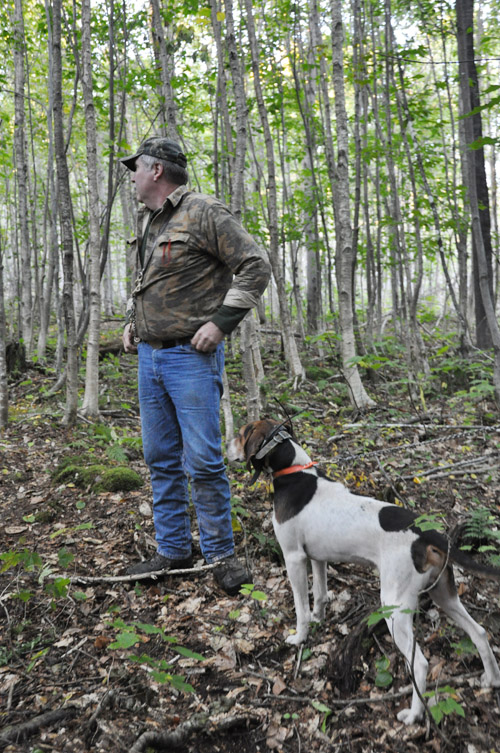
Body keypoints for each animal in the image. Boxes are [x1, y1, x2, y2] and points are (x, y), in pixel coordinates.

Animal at [228, 418, 500, 724]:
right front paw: (320, 618)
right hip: (445, 595)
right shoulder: (317, 558)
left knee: (419, 663)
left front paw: (299, 637)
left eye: (242, 434)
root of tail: (427, 533)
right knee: (479, 633)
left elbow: (301, 608)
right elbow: (320, 594)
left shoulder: (294, 557)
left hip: (395, 606)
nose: (226, 447)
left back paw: (413, 716)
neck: (295, 472)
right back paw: (491, 680)